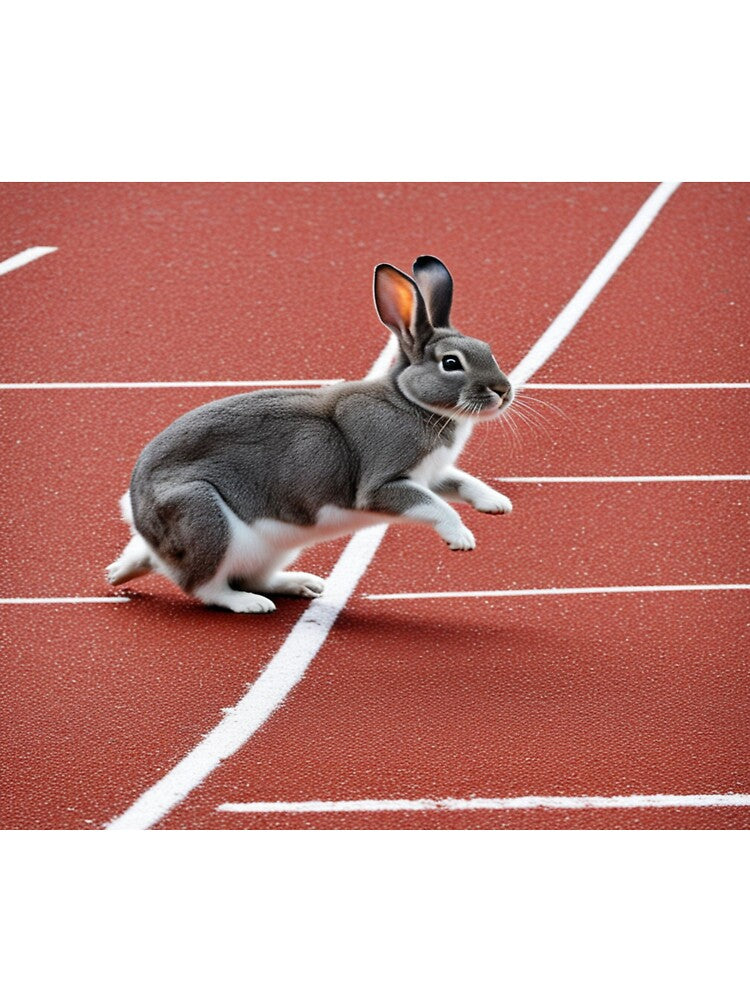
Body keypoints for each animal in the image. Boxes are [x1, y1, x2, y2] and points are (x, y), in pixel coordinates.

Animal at [106, 255, 515, 612]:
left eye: (488, 349)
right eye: (451, 363)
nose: (503, 391)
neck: (410, 400)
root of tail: (139, 517)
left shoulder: (433, 474)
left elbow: (461, 483)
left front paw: (497, 504)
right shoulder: (383, 484)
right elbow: (435, 505)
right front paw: (461, 538)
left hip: (269, 548)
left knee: (248, 576)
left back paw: (300, 584)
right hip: (204, 515)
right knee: (206, 586)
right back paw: (251, 604)